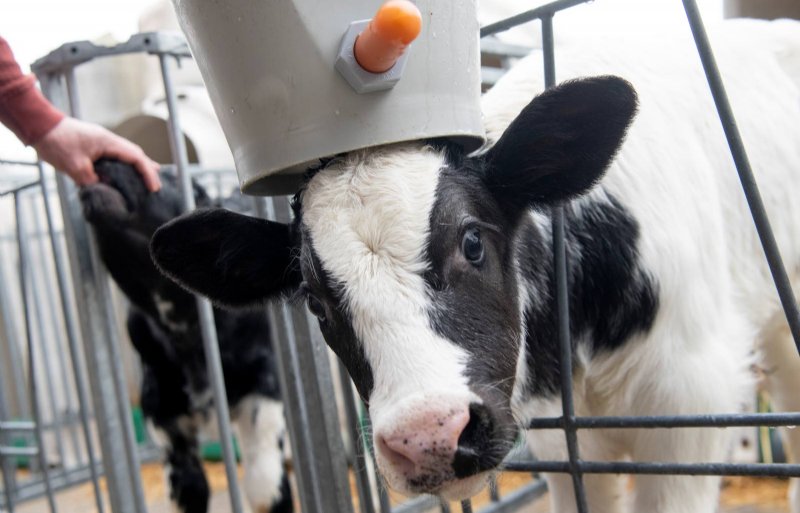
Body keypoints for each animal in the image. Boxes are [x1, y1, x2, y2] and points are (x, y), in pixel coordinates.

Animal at [80, 162, 290, 512]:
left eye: (176, 177)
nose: (104, 160)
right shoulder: (161, 400)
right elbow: (189, 486)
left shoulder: (265, 374)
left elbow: (265, 481)